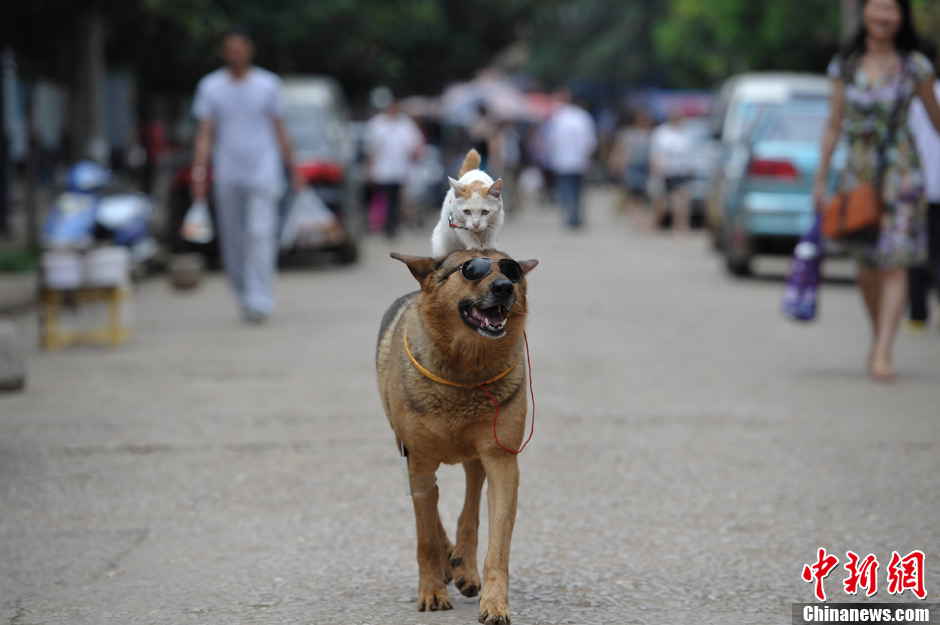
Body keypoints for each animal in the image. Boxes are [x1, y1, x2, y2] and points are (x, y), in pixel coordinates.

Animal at [374, 249, 536, 624]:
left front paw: (495, 602)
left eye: (512, 270)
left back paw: (464, 566)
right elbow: (424, 536)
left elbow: (498, 543)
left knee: (470, 505)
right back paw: (448, 562)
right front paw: (432, 591)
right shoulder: (418, 459)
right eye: (470, 270)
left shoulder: (501, 460)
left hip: (476, 456)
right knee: (432, 512)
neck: (466, 369)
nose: (505, 286)